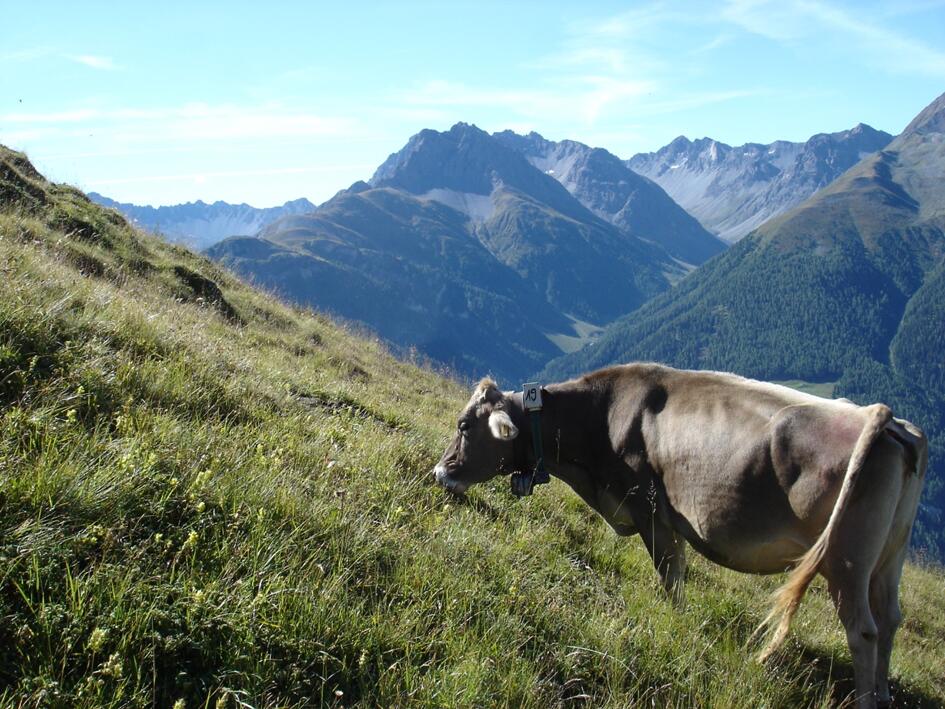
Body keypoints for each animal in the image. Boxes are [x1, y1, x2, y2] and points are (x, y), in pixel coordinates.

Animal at [433, 363, 927, 709]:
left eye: (463, 426)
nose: (439, 472)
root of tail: (887, 421)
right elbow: (680, 575)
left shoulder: (651, 512)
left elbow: (671, 580)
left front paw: (676, 622)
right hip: (890, 556)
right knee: (890, 620)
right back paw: (884, 694)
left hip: (846, 559)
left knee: (863, 629)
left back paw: (867, 699)